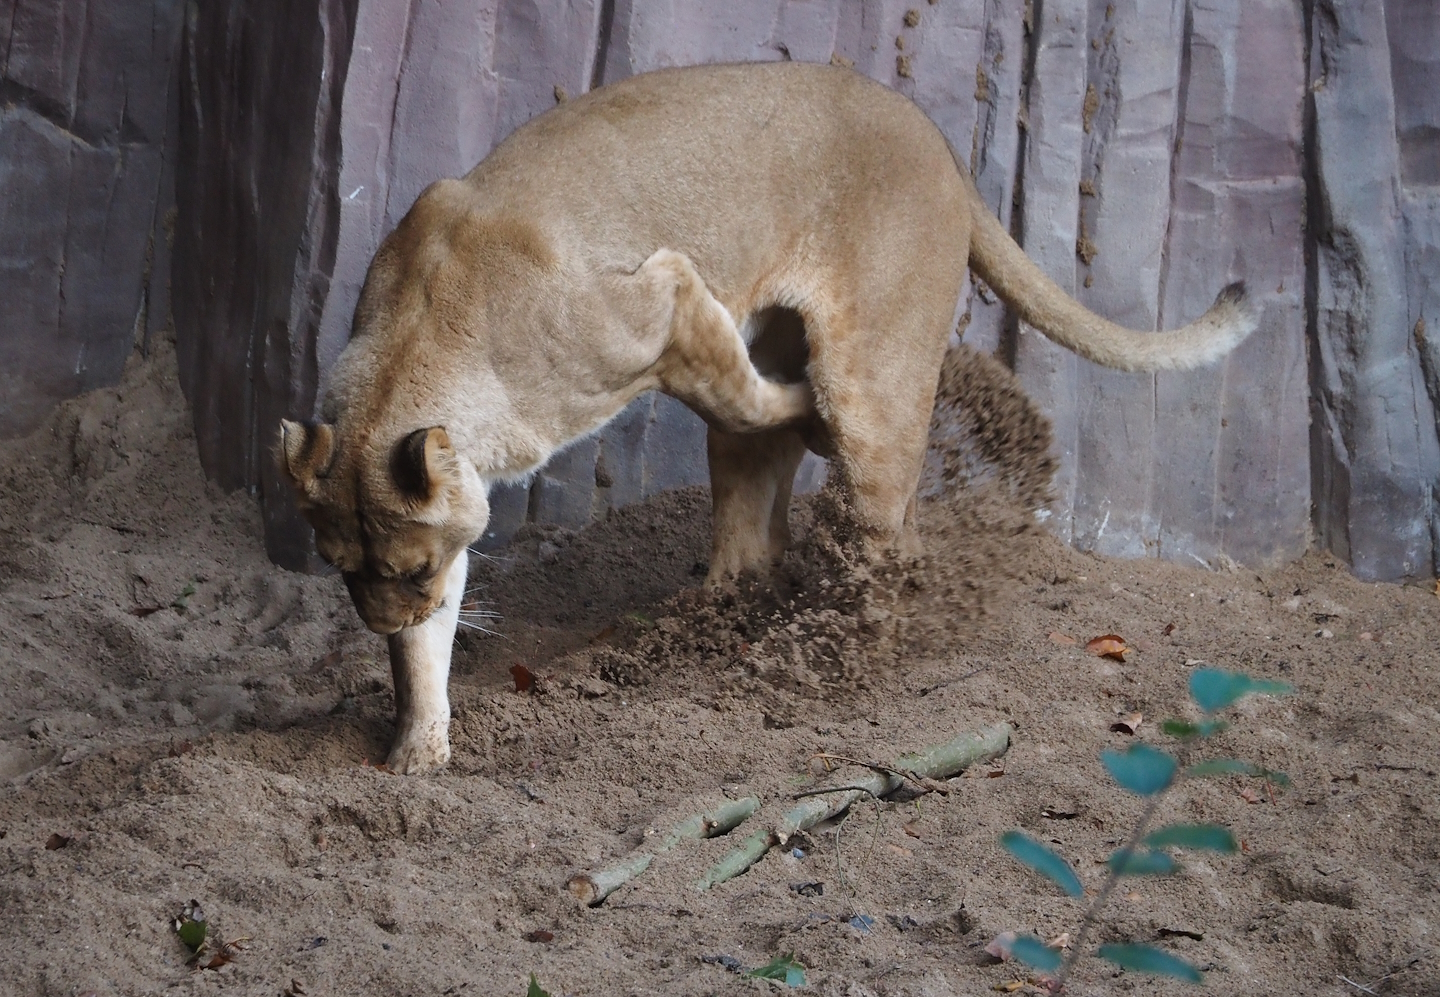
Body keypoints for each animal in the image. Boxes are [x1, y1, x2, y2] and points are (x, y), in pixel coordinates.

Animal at [279, 63, 1256, 774]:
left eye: (404, 566)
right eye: (338, 566)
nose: (381, 622)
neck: (418, 336)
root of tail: (937, 140)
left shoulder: (667, 294)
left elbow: (748, 393)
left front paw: (797, 404)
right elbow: (428, 652)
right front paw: (415, 757)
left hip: (879, 384)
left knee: (880, 525)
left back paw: (842, 644)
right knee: (759, 537)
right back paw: (719, 633)